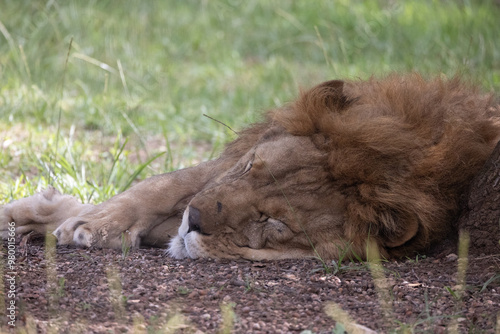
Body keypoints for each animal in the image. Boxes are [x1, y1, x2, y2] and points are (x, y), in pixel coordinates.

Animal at [0, 73, 500, 260]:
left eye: (272, 223)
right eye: (250, 168)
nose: (194, 220)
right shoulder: (221, 166)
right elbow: (159, 185)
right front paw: (68, 219)